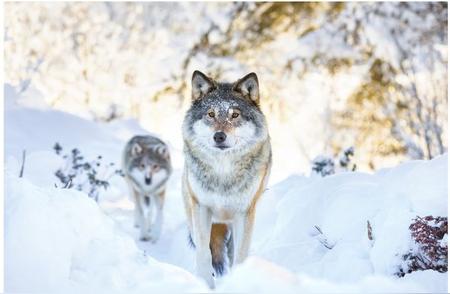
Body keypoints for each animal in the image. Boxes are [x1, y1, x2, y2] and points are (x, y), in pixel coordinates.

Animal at [182, 70, 270, 288]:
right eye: (211, 114)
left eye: (235, 115)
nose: (219, 136)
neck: (223, 173)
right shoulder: (201, 209)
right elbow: (204, 254)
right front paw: (205, 284)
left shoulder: (245, 213)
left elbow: (240, 255)